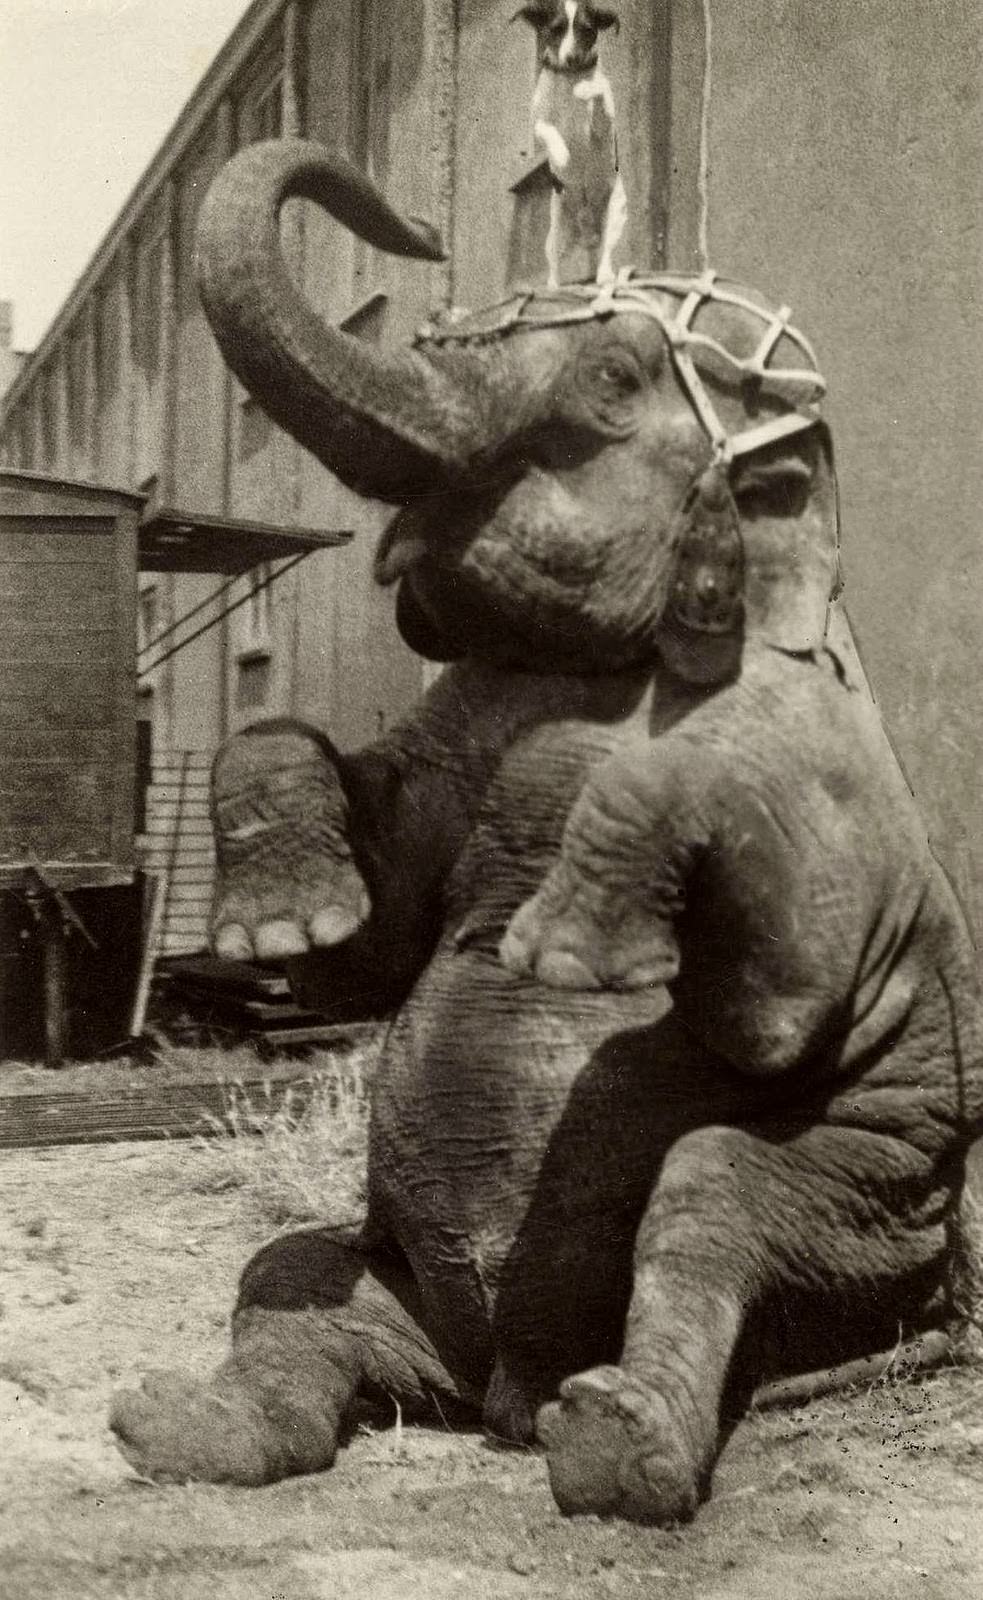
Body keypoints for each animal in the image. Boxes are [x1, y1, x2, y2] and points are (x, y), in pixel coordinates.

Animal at [109, 140, 983, 1523]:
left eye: (609, 381)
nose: (416, 231)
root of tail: (495, 1395)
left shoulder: (823, 757)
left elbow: (785, 997)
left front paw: (567, 952)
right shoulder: (467, 719)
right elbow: (367, 943)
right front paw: (280, 931)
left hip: (871, 1192)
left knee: (712, 1193)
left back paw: (618, 1441)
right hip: (389, 1286)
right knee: (290, 1276)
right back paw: (176, 1426)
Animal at [512, 1, 627, 288]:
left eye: (587, 29)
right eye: (556, 29)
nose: (573, 58)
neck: (570, 77)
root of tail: (587, 227)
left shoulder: (602, 127)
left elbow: (598, 89)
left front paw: (585, 89)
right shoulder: (537, 127)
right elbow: (548, 131)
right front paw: (562, 155)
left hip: (614, 216)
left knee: (605, 252)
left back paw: (605, 275)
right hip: (556, 236)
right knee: (554, 265)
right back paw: (552, 287)